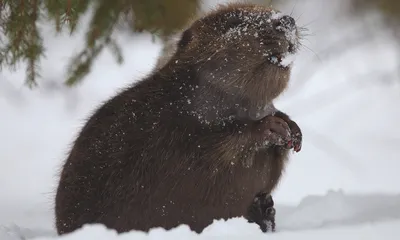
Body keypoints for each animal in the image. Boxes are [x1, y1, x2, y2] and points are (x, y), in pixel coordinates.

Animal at [54, 1, 302, 234]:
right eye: (234, 22)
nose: (286, 20)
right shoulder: (171, 130)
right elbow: (212, 149)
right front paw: (272, 127)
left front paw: (294, 131)